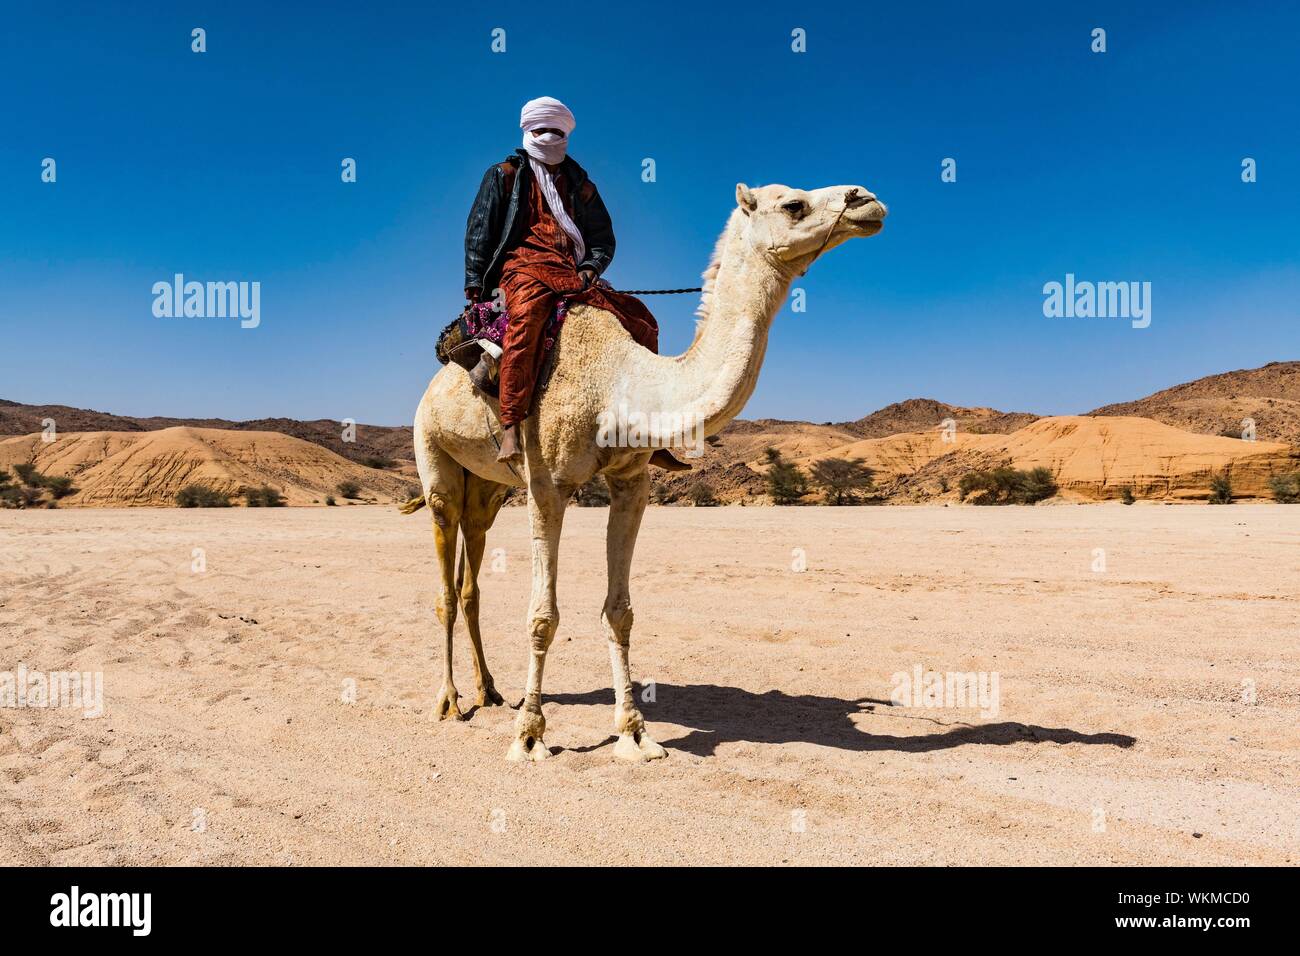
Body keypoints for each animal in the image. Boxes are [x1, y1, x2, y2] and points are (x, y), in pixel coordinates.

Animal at [407, 181, 886, 762]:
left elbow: (620, 611)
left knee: (472, 573)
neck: (619, 384)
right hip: (434, 455)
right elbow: (543, 616)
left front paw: (634, 733)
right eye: (793, 205)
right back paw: (451, 701)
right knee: (445, 579)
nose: (867, 200)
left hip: (488, 489)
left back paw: (491, 691)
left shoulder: (632, 482)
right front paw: (530, 737)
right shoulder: (547, 485)